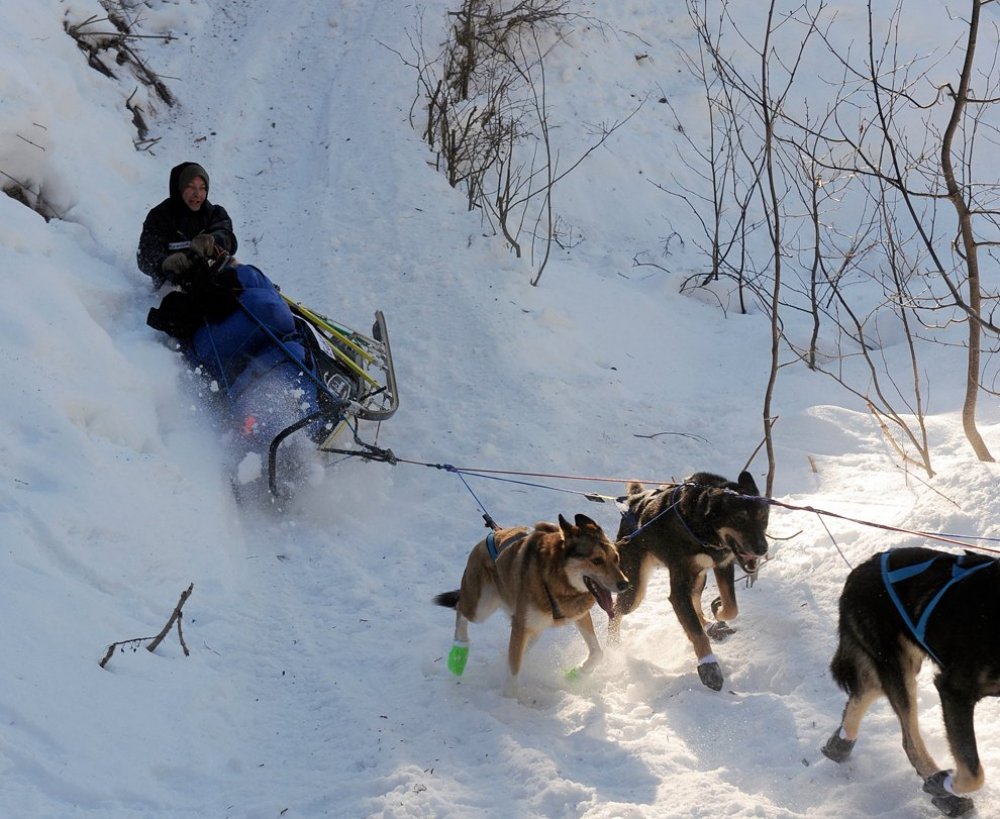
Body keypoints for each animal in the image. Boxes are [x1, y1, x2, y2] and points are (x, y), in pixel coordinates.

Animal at [434, 512, 628, 700]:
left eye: (616, 558)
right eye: (597, 560)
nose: (625, 584)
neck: (554, 580)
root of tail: (492, 535)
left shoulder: (578, 615)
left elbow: (597, 653)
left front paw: (577, 674)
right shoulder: (521, 626)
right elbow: (514, 671)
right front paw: (510, 701)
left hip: (533, 629)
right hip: (482, 607)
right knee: (461, 608)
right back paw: (458, 655)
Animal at [604, 474, 768, 692]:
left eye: (763, 517)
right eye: (740, 518)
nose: (762, 548)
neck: (702, 529)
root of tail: (634, 501)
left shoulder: (723, 565)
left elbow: (731, 606)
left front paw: (718, 612)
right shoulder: (679, 589)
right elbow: (696, 632)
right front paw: (709, 665)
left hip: (699, 578)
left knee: (695, 600)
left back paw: (710, 624)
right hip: (635, 591)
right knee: (616, 611)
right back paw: (613, 647)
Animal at [820, 548, 1000, 816]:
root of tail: (861, 568)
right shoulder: (954, 690)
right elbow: (973, 771)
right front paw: (941, 783)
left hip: (901, 664)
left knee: (865, 692)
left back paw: (839, 743)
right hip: (898, 668)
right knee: (909, 739)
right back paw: (945, 793)